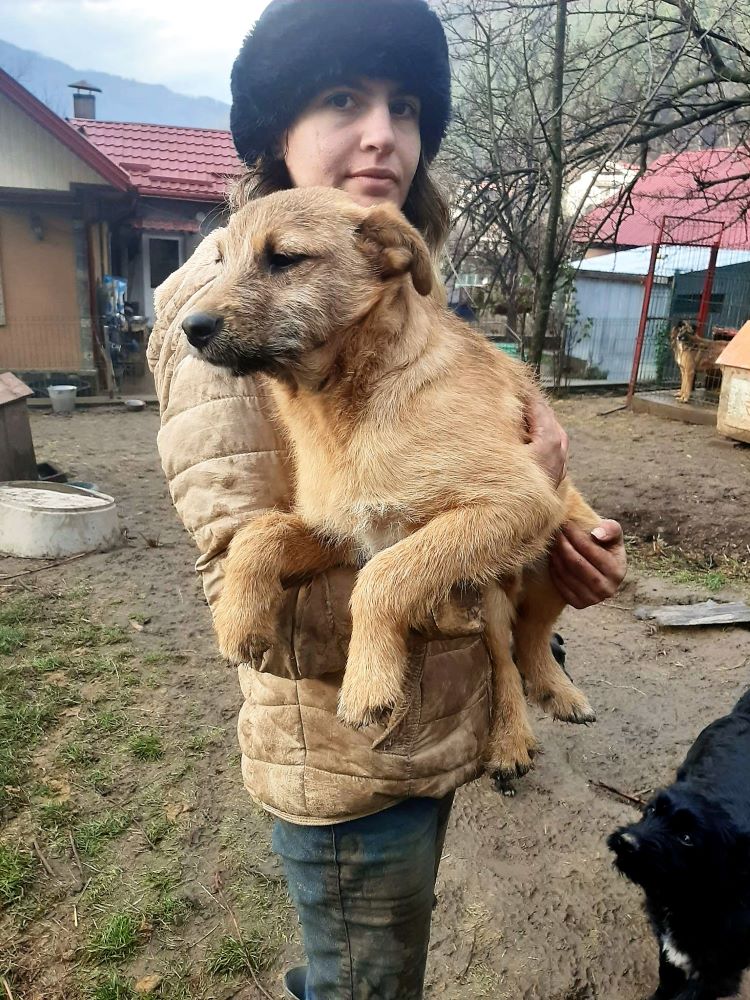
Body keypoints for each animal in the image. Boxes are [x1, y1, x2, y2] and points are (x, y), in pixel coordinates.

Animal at [608, 692, 750, 996]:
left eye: (686, 838)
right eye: (651, 810)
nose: (626, 842)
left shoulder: (718, 972)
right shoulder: (668, 946)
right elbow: (667, 977)